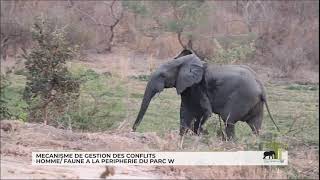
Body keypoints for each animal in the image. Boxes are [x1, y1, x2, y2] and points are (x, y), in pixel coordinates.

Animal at [131, 48, 278, 144]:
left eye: (163, 75)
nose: (133, 131)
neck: (185, 62)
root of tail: (261, 88)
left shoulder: (198, 86)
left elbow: (205, 112)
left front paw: (197, 135)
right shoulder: (188, 87)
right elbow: (185, 111)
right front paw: (183, 137)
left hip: (243, 98)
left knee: (228, 120)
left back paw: (229, 143)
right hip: (256, 103)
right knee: (255, 125)